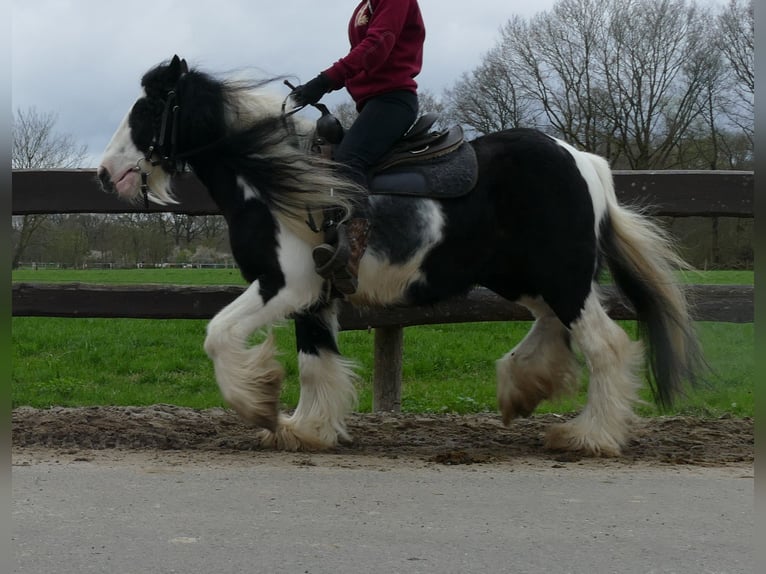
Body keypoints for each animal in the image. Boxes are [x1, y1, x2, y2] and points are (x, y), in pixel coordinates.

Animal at [99, 56, 704, 456]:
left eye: (148, 108)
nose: (106, 175)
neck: (273, 177)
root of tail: (585, 162)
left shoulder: (286, 283)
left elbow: (219, 334)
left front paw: (260, 404)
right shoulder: (315, 296)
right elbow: (316, 363)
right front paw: (307, 429)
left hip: (563, 277)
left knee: (604, 345)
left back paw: (588, 435)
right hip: (528, 279)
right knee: (553, 328)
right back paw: (522, 386)